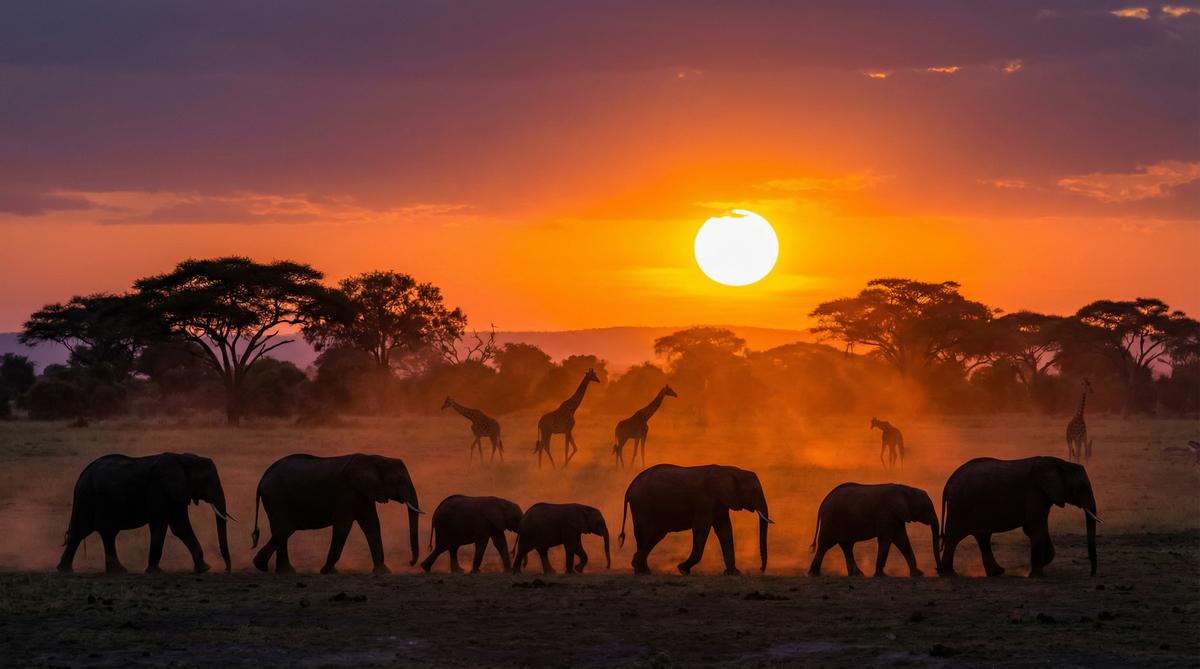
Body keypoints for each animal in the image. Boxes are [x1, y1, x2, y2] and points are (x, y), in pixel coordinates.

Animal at [57, 453, 233, 574]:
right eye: (209, 482)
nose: (227, 570)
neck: (184, 458)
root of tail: (83, 473)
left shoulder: (176, 493)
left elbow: (180, 526)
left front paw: (203, 569)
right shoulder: (160, 489)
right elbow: (164, 525)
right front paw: (156, 572)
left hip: (90, 497)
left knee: (96, 532)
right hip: (88, 497)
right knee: (87, 530)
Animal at [251, 454, 422, 574]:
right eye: (399, 480)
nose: (410, 562)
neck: (375, 459)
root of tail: (263, 478)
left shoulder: (363, 494)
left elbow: (372, 525)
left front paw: (383, 572)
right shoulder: (346, 492)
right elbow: (343, 526)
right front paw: (328, 571)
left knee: (281, 530)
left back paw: (283, 571)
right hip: (275, 497)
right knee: (285, 528)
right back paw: (262, 566)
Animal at [618, 464, 773, 575]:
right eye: (753, 491)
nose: (761, 569)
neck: (731, 470)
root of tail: (629, 488)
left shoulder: (720, 503)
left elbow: (725, 531)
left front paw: (733, 573)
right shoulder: (705, 502)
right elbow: (701, 529)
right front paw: (682, 569)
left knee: (654, 536)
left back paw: (641, 568)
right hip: (641, 506)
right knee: (646, 534)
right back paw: (641, 572)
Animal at [808, 483, 939, 577]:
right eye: (927, 507)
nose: (938, 570)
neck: (905, 489)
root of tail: (823, 502)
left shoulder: (896, 516)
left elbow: (902, 541)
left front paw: (918, 574)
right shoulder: (886, 514)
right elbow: (886, 540)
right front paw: (881, 575)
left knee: (847, 546)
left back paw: (857, 575)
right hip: (831, 520)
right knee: (825, 545)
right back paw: (813, 574)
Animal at [939, 456, 1099, 578]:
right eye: (1082, 486)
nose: (1091, 574)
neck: (1057, 462)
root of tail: (947, 485)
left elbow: (1035, 527)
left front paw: (1043, 562)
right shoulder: (1035, 492)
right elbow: (1036, 527)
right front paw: (1036, 575)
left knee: (982, 537)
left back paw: (997, 573)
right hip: (960, 506)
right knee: (954, 538)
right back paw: (949, 575)